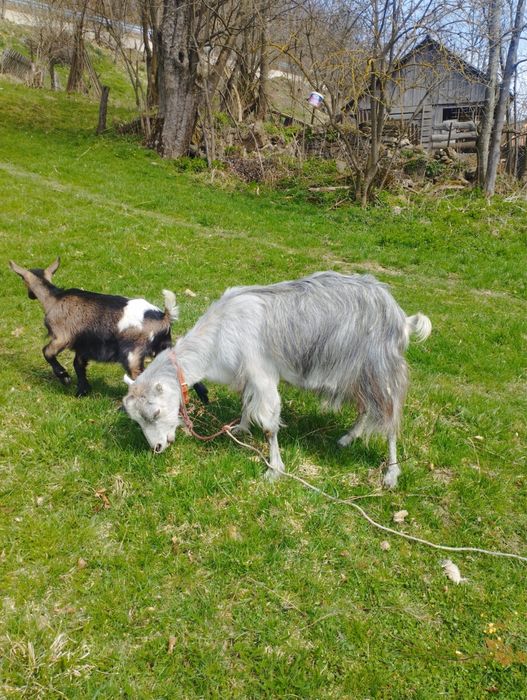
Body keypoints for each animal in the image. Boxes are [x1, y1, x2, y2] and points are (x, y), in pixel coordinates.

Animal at [9, 257, 209, 402]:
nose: (30, 295)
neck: (55, 298)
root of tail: (164, 317)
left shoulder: (62, 336)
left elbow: (47, 352)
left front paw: (64, 377)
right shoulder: (84, 347)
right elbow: (78, 365)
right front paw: (82, 392)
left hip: (132, 355)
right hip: (165, 347)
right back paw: (204, 398)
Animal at [123, 271, 431, 489]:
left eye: (155, 412)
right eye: (137, 420)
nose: (157, 448)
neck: (220, 332)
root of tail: (402, 319)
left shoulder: (262, 375)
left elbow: (270, 426)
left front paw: (274, 469)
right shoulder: (248, 376)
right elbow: (246, 403)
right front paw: (241, 429)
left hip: (380, 371)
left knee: (389, 420)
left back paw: (391, 473)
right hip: (356, 375)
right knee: (366, 408)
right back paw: (347, 438)